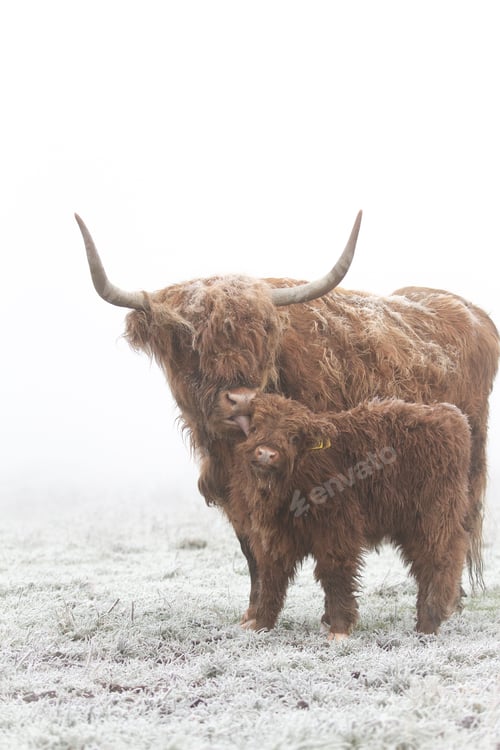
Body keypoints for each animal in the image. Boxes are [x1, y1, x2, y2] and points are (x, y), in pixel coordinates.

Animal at [229, 392, 474, 638]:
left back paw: (429, 622)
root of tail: (450, 415)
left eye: (294, 437)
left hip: (434, 517)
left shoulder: (337, 530)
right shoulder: (273, 537)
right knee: (425, 565)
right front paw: (261, 624)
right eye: (255, 427)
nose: (266, 454)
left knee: (440, 560)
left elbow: (335, 575)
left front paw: (338, 630)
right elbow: (271, 578)